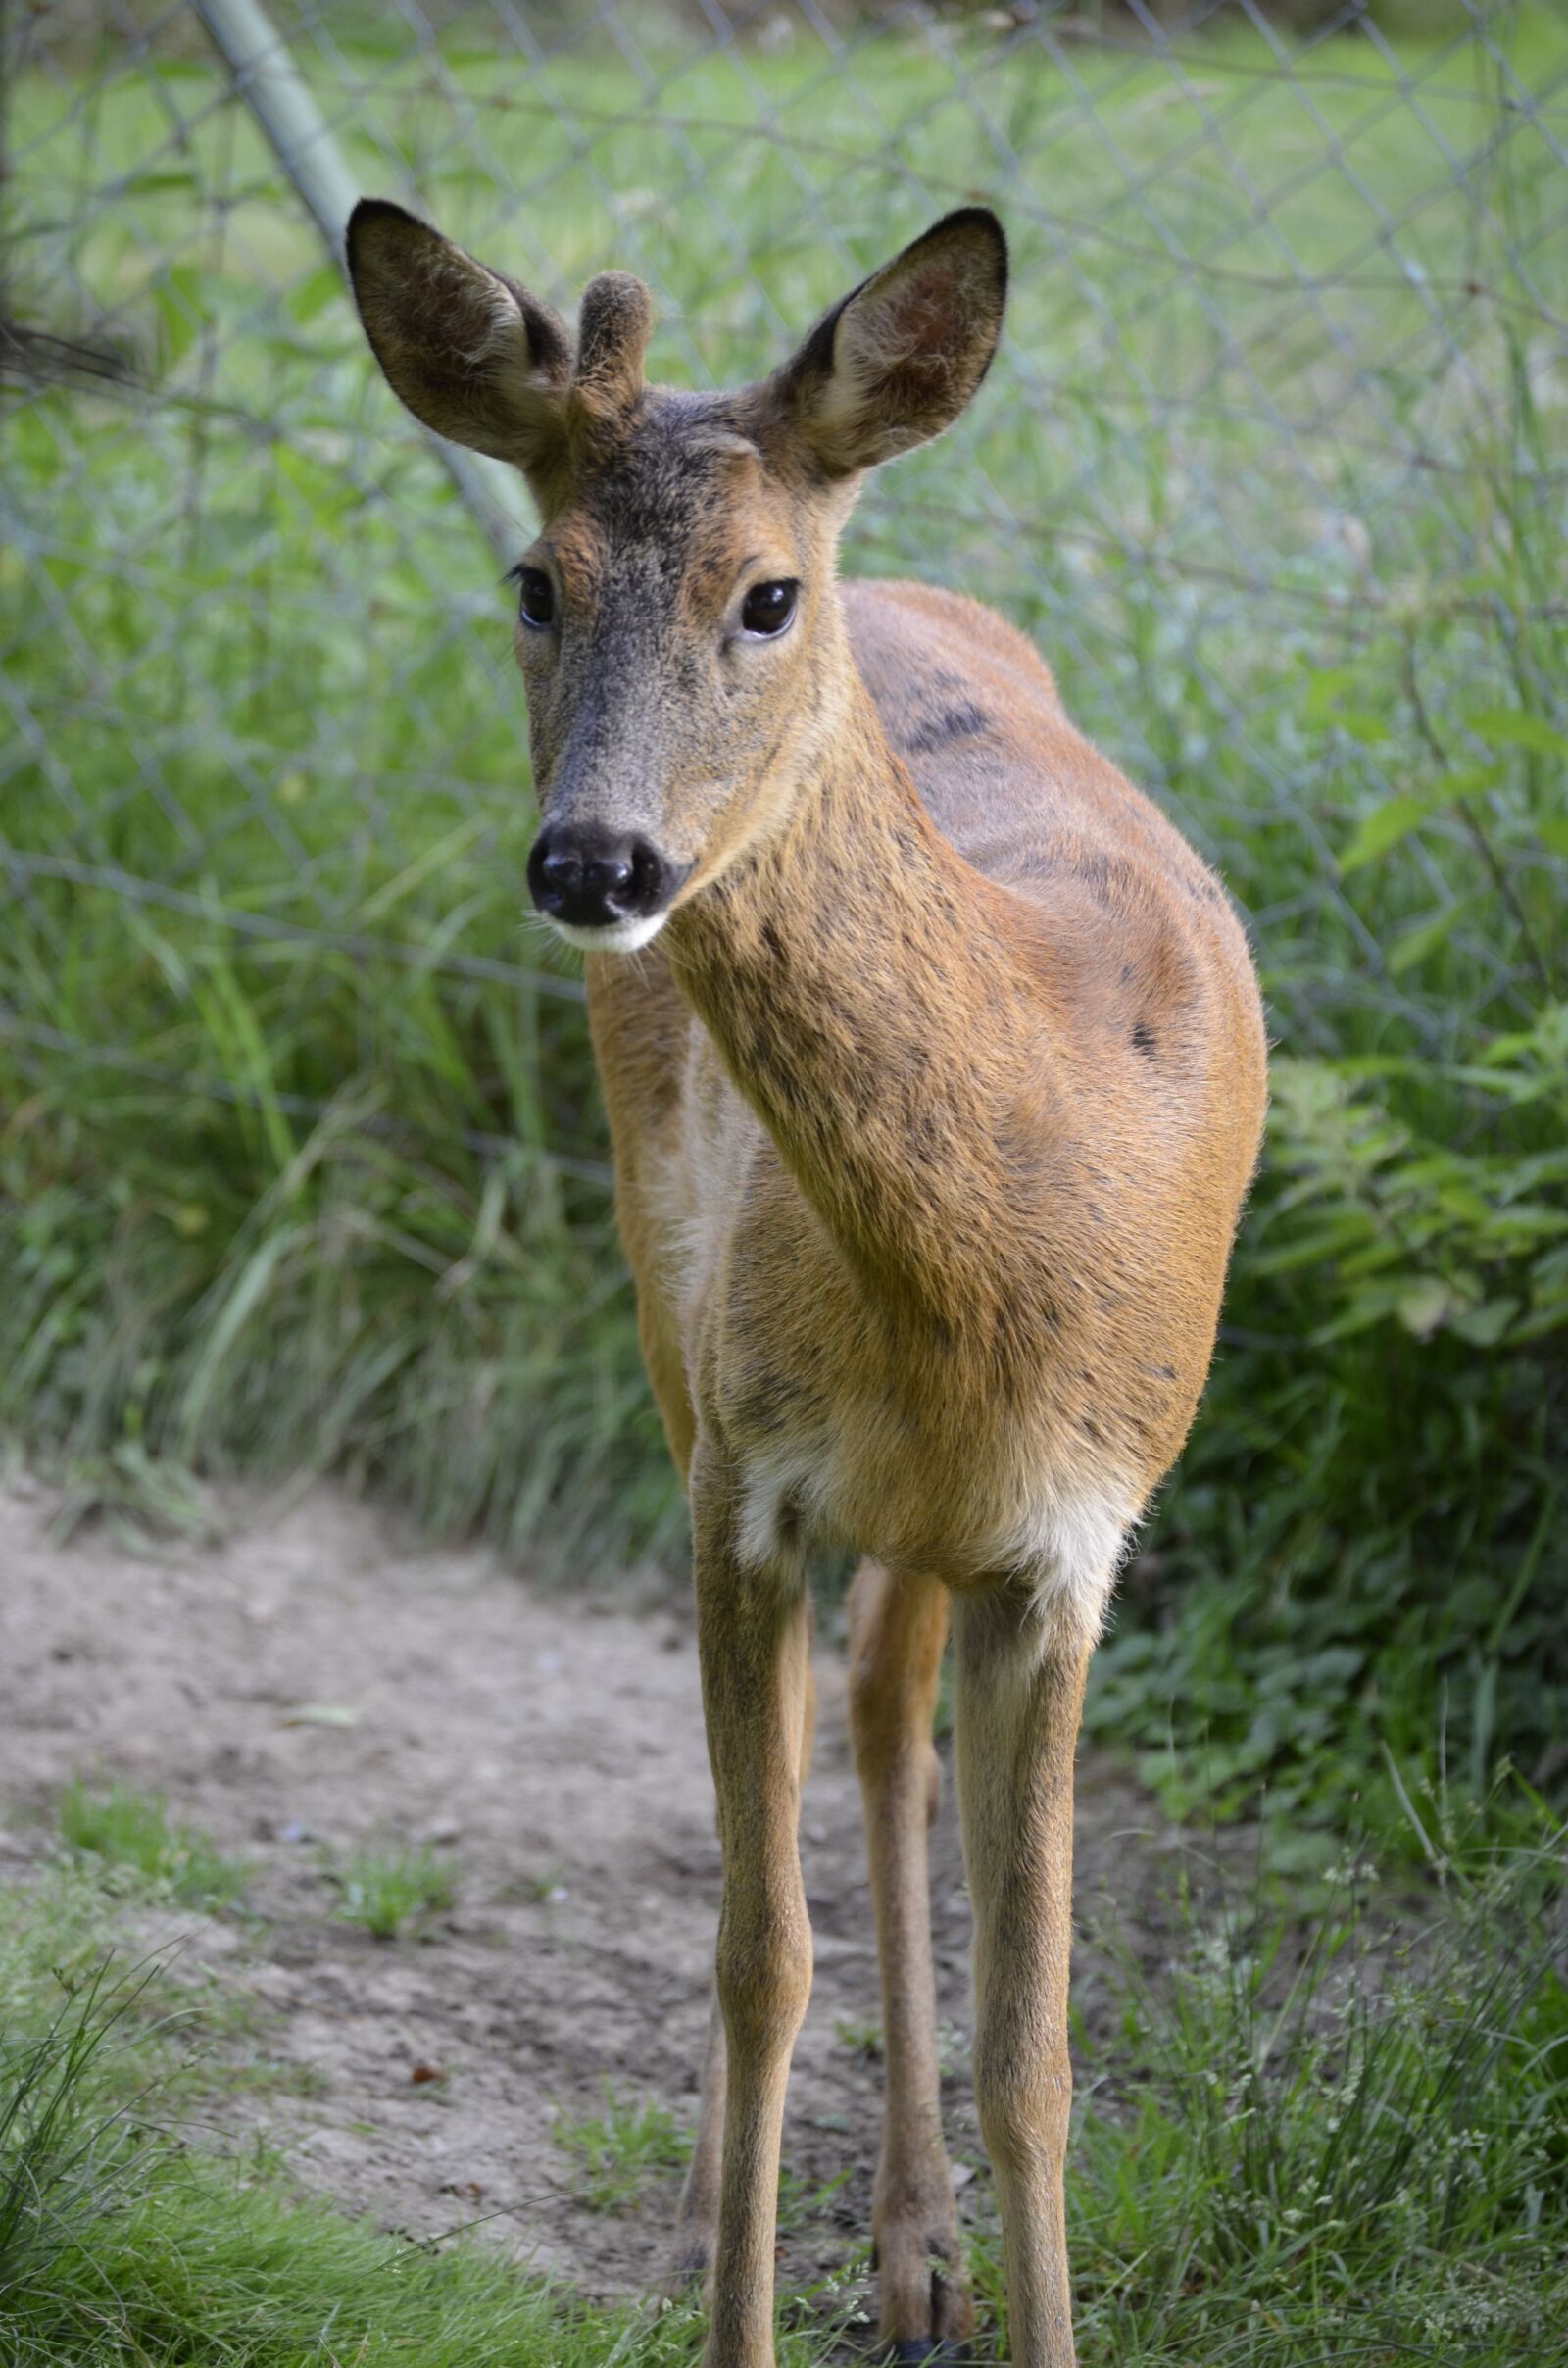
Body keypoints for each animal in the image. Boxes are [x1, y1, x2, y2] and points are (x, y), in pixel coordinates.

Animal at [347, 196, 1267, 2367]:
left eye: (765, 594)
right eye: (533, 576)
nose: (592, 862)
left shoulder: (1073, 1535)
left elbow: (1037, 2041)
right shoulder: (743, 1482)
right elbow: (759, 1956)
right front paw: (731, 2281)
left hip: (917, 1519)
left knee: (875, 1703)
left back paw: (918, 2246)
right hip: (656, 1290)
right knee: (809, 1754)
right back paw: (747, 2211)